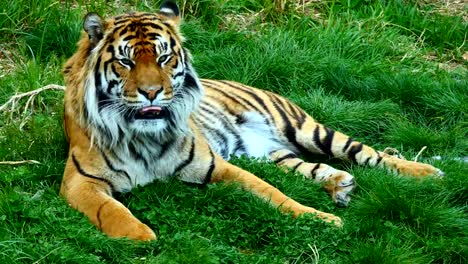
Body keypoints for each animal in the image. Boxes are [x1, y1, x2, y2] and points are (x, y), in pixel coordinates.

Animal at [60, 0, 444, 240]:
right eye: (125, 61)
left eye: (164, 57)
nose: (152, 93)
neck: (144, 136)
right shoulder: (81, 181)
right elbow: (110, 211)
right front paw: (140, 236)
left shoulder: (218, 166)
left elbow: (273, 193)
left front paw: (320, 218)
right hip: (275, 155)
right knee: (312, 166)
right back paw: (339, 185)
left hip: (308, 130)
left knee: (368, 153)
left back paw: (426, 173)